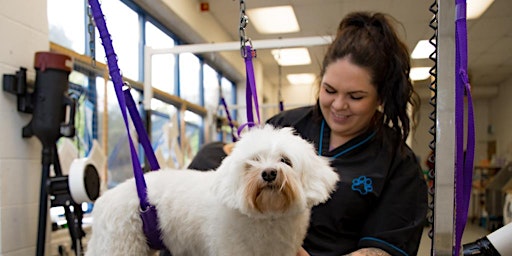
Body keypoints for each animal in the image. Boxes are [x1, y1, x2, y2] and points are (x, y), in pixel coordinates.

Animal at [86, 125, 338, 255]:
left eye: (285, 160)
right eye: (253, 162)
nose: (268, 173)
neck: (268, 217)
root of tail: (105, 200)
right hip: (121, 246)